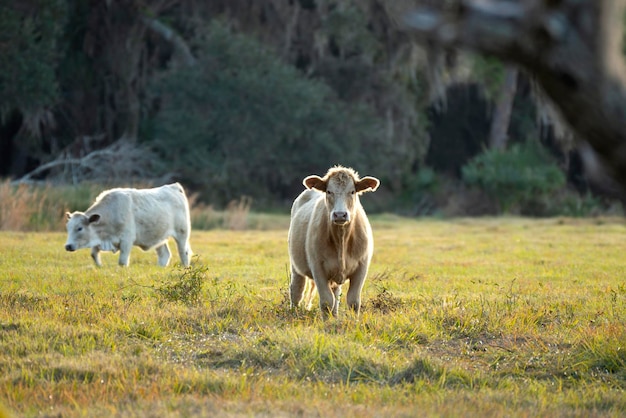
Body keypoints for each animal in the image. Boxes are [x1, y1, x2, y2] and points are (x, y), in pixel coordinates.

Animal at [63, 183, 191, 268]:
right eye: (68, 228)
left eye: (79, 228)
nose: (68, 246)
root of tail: (174, 187)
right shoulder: (99, 239)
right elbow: (94, 254)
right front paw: (100, 267)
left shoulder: (126, 240)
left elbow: (122, 262)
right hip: (159, 237)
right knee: (164, 254)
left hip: (182, 233)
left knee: (183, 252)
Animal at [288, 165, 380, 318]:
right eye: (329, 191)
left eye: (352, 191)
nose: (340, 214)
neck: (341, 238)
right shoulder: (317, 267)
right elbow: (326, 301)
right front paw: (327, 322)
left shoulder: (361, 267)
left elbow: (353, 301)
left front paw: (352, 321)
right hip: (296, 265)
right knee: (297, 289)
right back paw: (293, 313)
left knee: (336, 294)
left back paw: (335, 316)